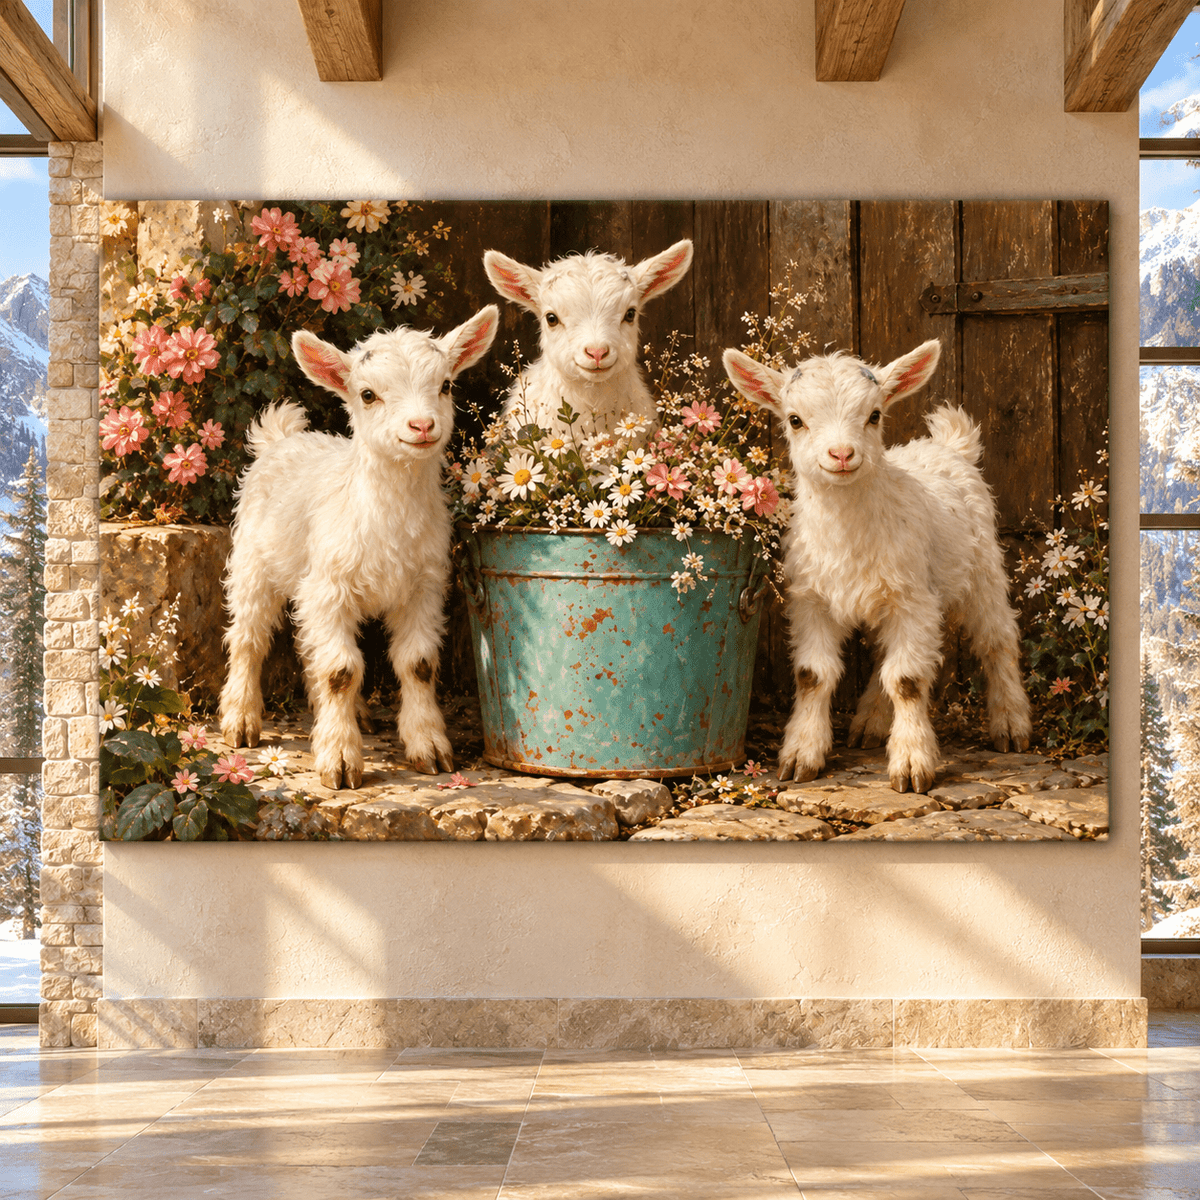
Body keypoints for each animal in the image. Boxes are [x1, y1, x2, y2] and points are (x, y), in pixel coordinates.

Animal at [218, 307, 499, 789]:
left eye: (445, 385)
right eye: (367, 394)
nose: (422, 426)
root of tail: (282, 438)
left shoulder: (424, 587)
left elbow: (418, 663)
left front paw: (429, 747)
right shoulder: (330, 588)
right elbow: (341, 671)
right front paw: (340, 759)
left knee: (307, 646)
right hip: (253, 564)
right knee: (248, 639)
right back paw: (240, 719)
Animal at [723, 339, 1032, 794]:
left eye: (874, 415)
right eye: (795, 420)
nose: (842, 454)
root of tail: (947, 447)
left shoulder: (915, 602)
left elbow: (907, 681)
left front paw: (912, 763)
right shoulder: (812, 601)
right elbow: (812, 675)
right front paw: (801, 755)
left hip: (982, 571)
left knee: (997, 640)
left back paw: (1011, 724)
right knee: (886, 652)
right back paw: (869, 721)